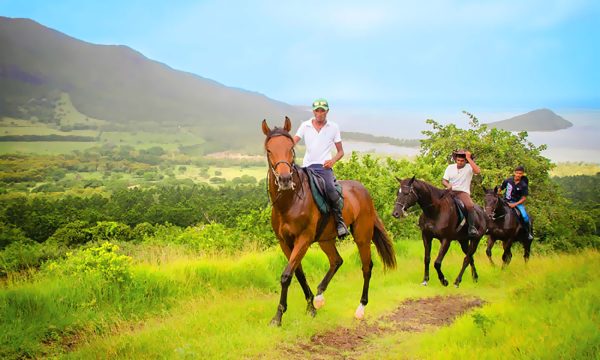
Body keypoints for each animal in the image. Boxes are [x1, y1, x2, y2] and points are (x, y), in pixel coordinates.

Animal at [262, 117, 394, 326]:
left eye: (291, 148)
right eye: (269, 150)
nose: (284, 179)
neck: (290, 202)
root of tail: (364, 191)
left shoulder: (304, 239)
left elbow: (286, 275)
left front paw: (278, 316)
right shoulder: (285, 242)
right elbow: (298, 273)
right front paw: (311, 307)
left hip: (362, 237)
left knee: (367, 267)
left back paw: (360, 308)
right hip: (326, 240)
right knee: (336, 261)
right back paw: (319, 297)